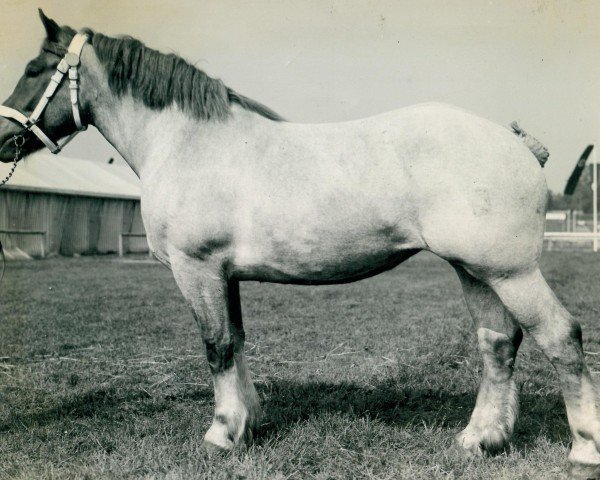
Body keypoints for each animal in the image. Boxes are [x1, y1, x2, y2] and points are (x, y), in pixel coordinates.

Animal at [0, 10, 596, 476]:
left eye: (32, 70)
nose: (4, 138)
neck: (188, 143)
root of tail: (514, 140)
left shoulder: (197, 270)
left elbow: (216, 347)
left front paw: (221, 435)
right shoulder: (224, 276)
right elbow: (236, 343)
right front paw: (248, 425)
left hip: (510, 271)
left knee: (560, 337)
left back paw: (583, 450)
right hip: (474, 269)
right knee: (498, 343)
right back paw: (482, 440)